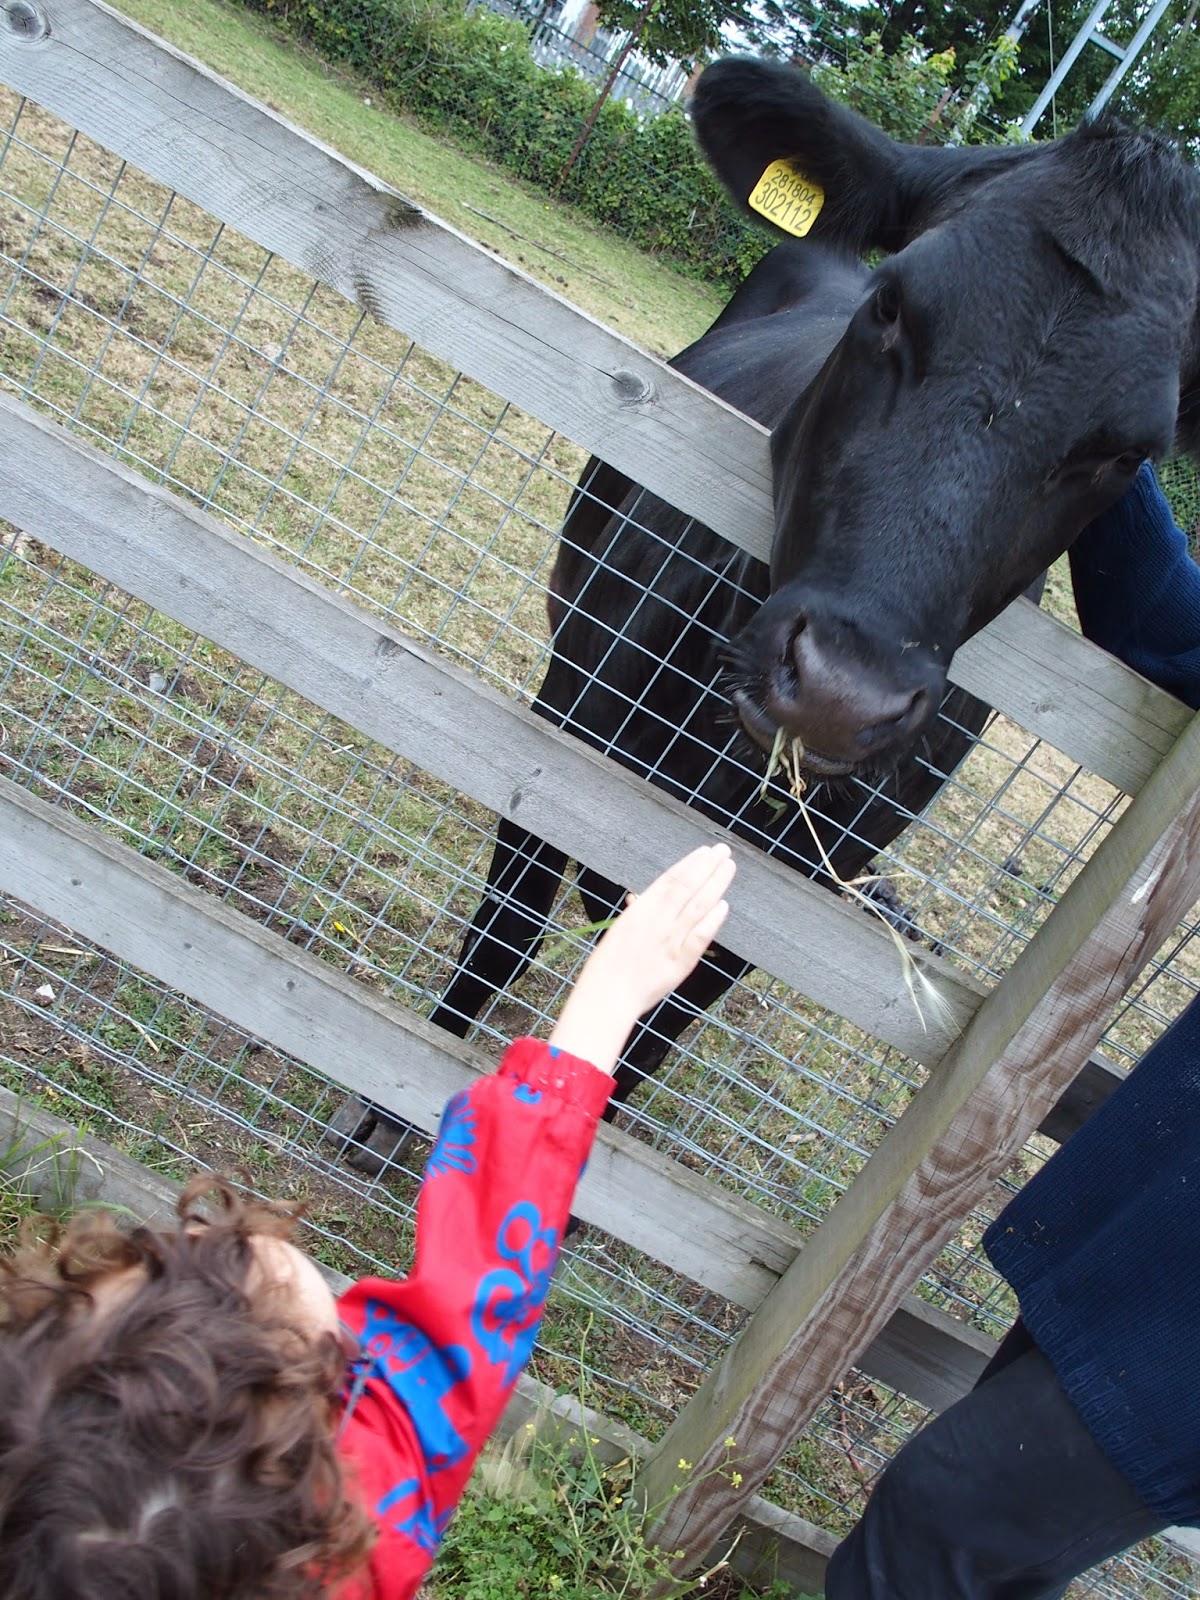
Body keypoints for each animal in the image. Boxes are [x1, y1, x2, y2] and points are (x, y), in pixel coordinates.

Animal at [335, 58, 1200, 1173]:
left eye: (1128, 452)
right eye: (891, 306)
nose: (841, 691)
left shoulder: (789, 887)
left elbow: (656, 1040)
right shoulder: (562, 725)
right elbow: (506, 929)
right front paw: (399, 1115)